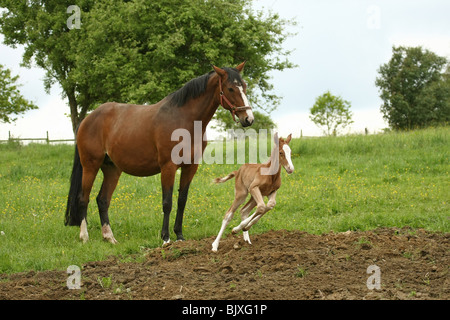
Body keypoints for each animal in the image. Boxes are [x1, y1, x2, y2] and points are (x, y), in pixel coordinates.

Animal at [65, 61, 253, 244]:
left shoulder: (190, 167)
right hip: (90, 166)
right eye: (230, 88)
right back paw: (84, 237)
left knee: (103, 200)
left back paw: (109, 237)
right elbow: (167, 202)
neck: (184, 120)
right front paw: (166, 238)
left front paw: (179, 235)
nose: (248, 118)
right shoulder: (168, 167)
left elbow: (182, 200)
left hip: (112, 169)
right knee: (83, 198)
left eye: (244, 86)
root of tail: (88, 118)